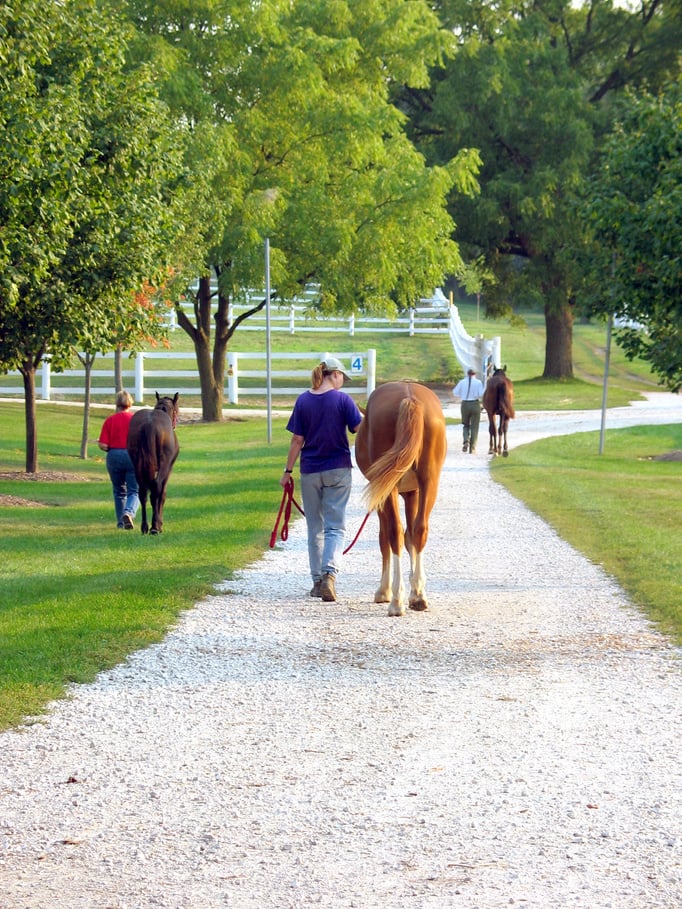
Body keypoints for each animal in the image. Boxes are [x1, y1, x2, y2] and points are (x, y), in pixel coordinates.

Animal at [127, 393, 180, 534]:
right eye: (176, 411)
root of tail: (149, 424)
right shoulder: (168, 468)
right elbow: (162, 494)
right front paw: (159, 523)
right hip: (164, 464)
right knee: (156, 487)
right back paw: (155, 527)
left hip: (137, 464)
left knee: (142, 492)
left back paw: (145, 526)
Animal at [355, 381, 447, 617]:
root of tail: (409, 398)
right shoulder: (413, 493)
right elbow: (411, 536)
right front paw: (415, 591)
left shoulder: (384, 496)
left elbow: (385, 538)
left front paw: (384, 591)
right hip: (429, 482)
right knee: (420, 529)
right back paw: (419, 597)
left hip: (390, 490)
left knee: (393, 532)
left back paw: (396, 600)